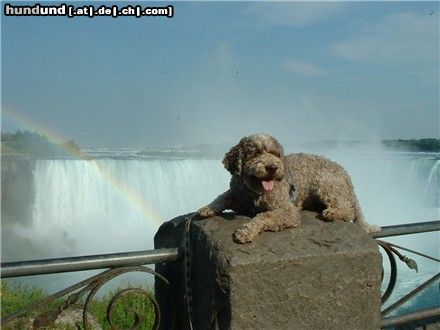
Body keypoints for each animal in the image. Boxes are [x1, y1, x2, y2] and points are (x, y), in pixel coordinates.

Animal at [198, 133, 380, 244]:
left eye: (275, 154)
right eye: (255, 153)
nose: (272, 167)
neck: (254, 192)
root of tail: (345, 173)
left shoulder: (287, 211)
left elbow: (264, 216)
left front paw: (246, 231)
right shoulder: (238, 194)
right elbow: (223, 197)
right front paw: (207, 208)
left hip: (325, 183)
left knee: (347, 208)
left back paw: (332, 212)